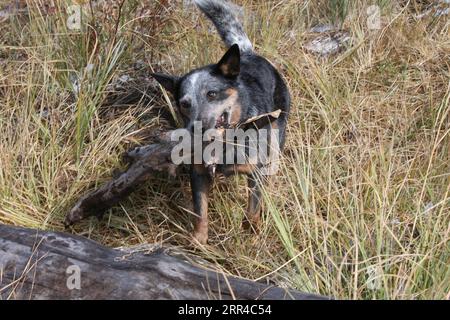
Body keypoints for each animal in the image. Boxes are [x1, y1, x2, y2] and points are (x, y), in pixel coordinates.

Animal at [151, 0, 292, 244]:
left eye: (212, 94)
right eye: (184, 103)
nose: (197, 130)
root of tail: (246, 53)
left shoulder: (255, 173)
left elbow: (252, 209)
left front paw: (251, 231)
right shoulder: (198, 172)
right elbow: (200, 211)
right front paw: (198, 241)